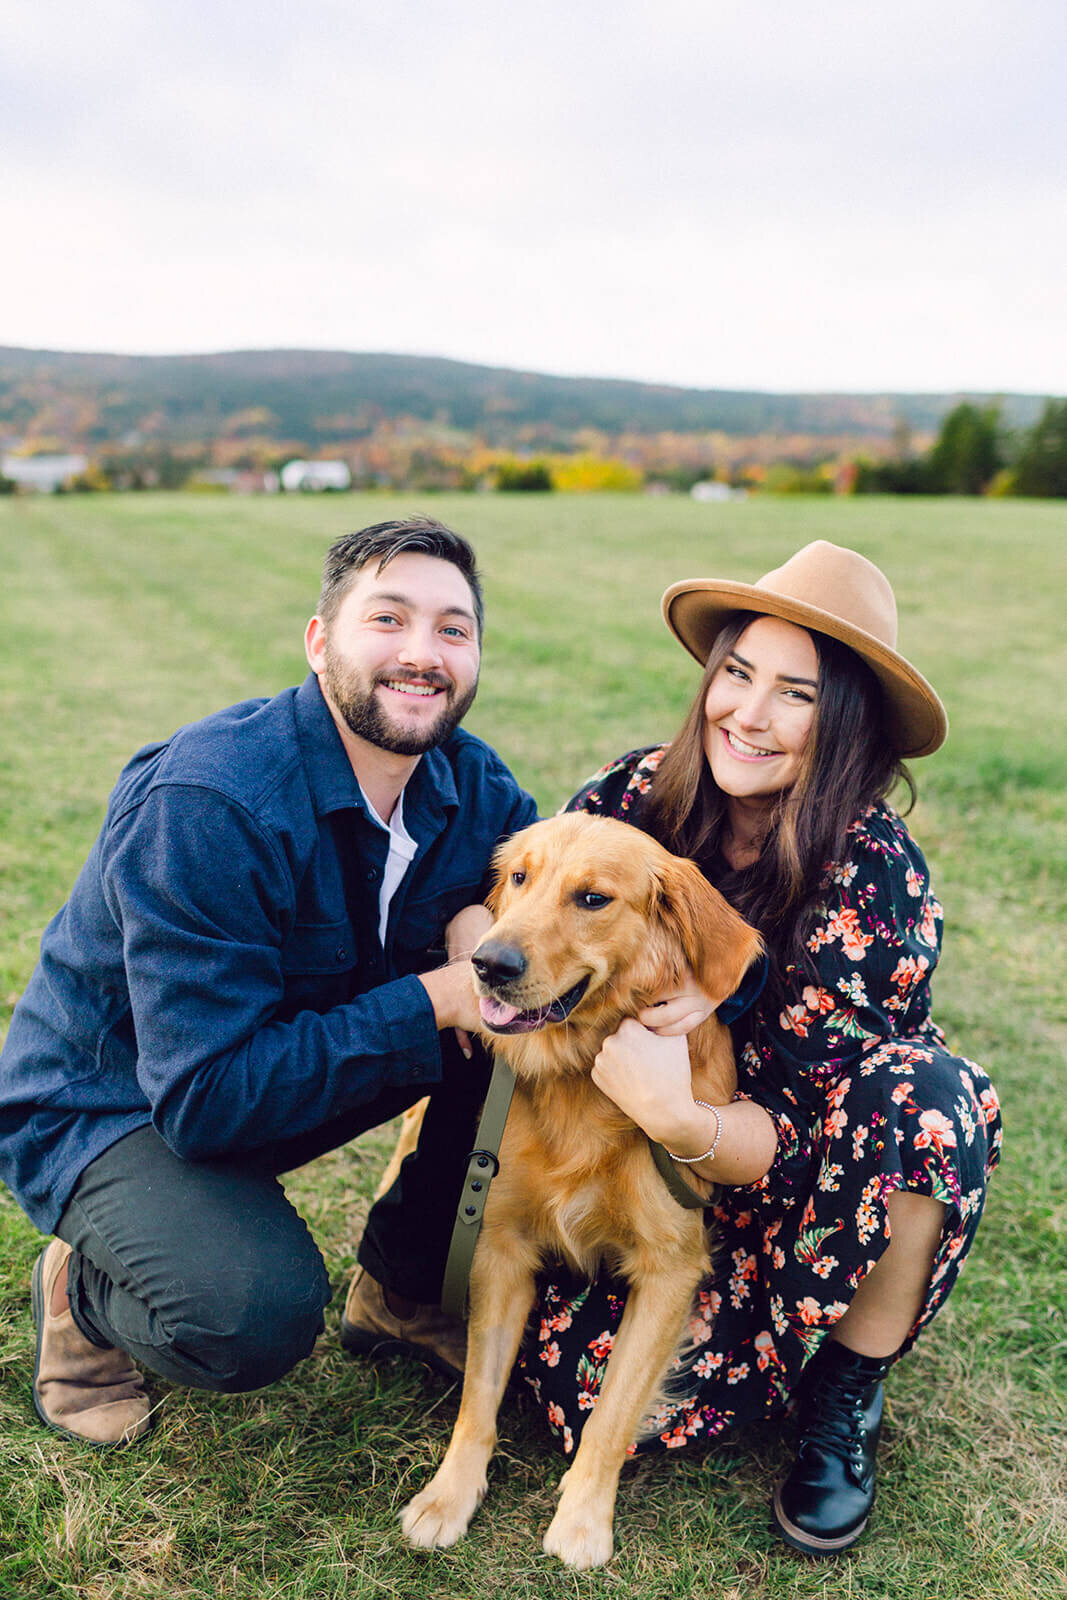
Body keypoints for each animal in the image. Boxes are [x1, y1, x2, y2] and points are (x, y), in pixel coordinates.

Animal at [399, 819, 758, 1568]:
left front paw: (584, 1518)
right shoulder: (498, 1245)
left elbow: (614, 1409)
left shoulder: (670, 1267)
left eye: (592, 898)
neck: (577, 1080)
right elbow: (478, 1395)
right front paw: (448, 1497)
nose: (488, 963)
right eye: (519, 878)